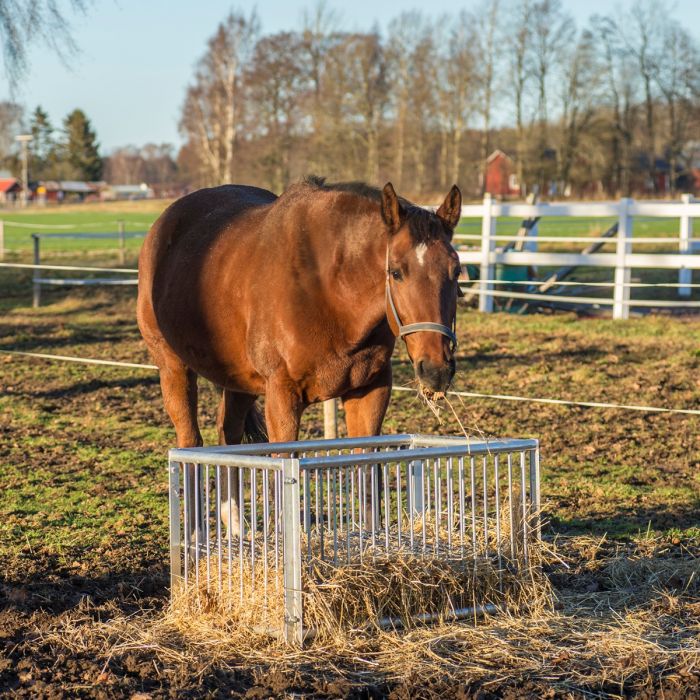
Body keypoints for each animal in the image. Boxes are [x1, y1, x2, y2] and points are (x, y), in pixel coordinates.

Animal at [137, 178, 462, 532]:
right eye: (396, 272)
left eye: (456, 271)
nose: (436, 369)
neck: (328, 291)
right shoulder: (282, 398)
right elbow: (283, 473)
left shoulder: (370, 390)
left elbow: (367, 471)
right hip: (174, 368)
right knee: (190, 443)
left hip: (239, 382)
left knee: (229, 436)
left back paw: (235, 527)